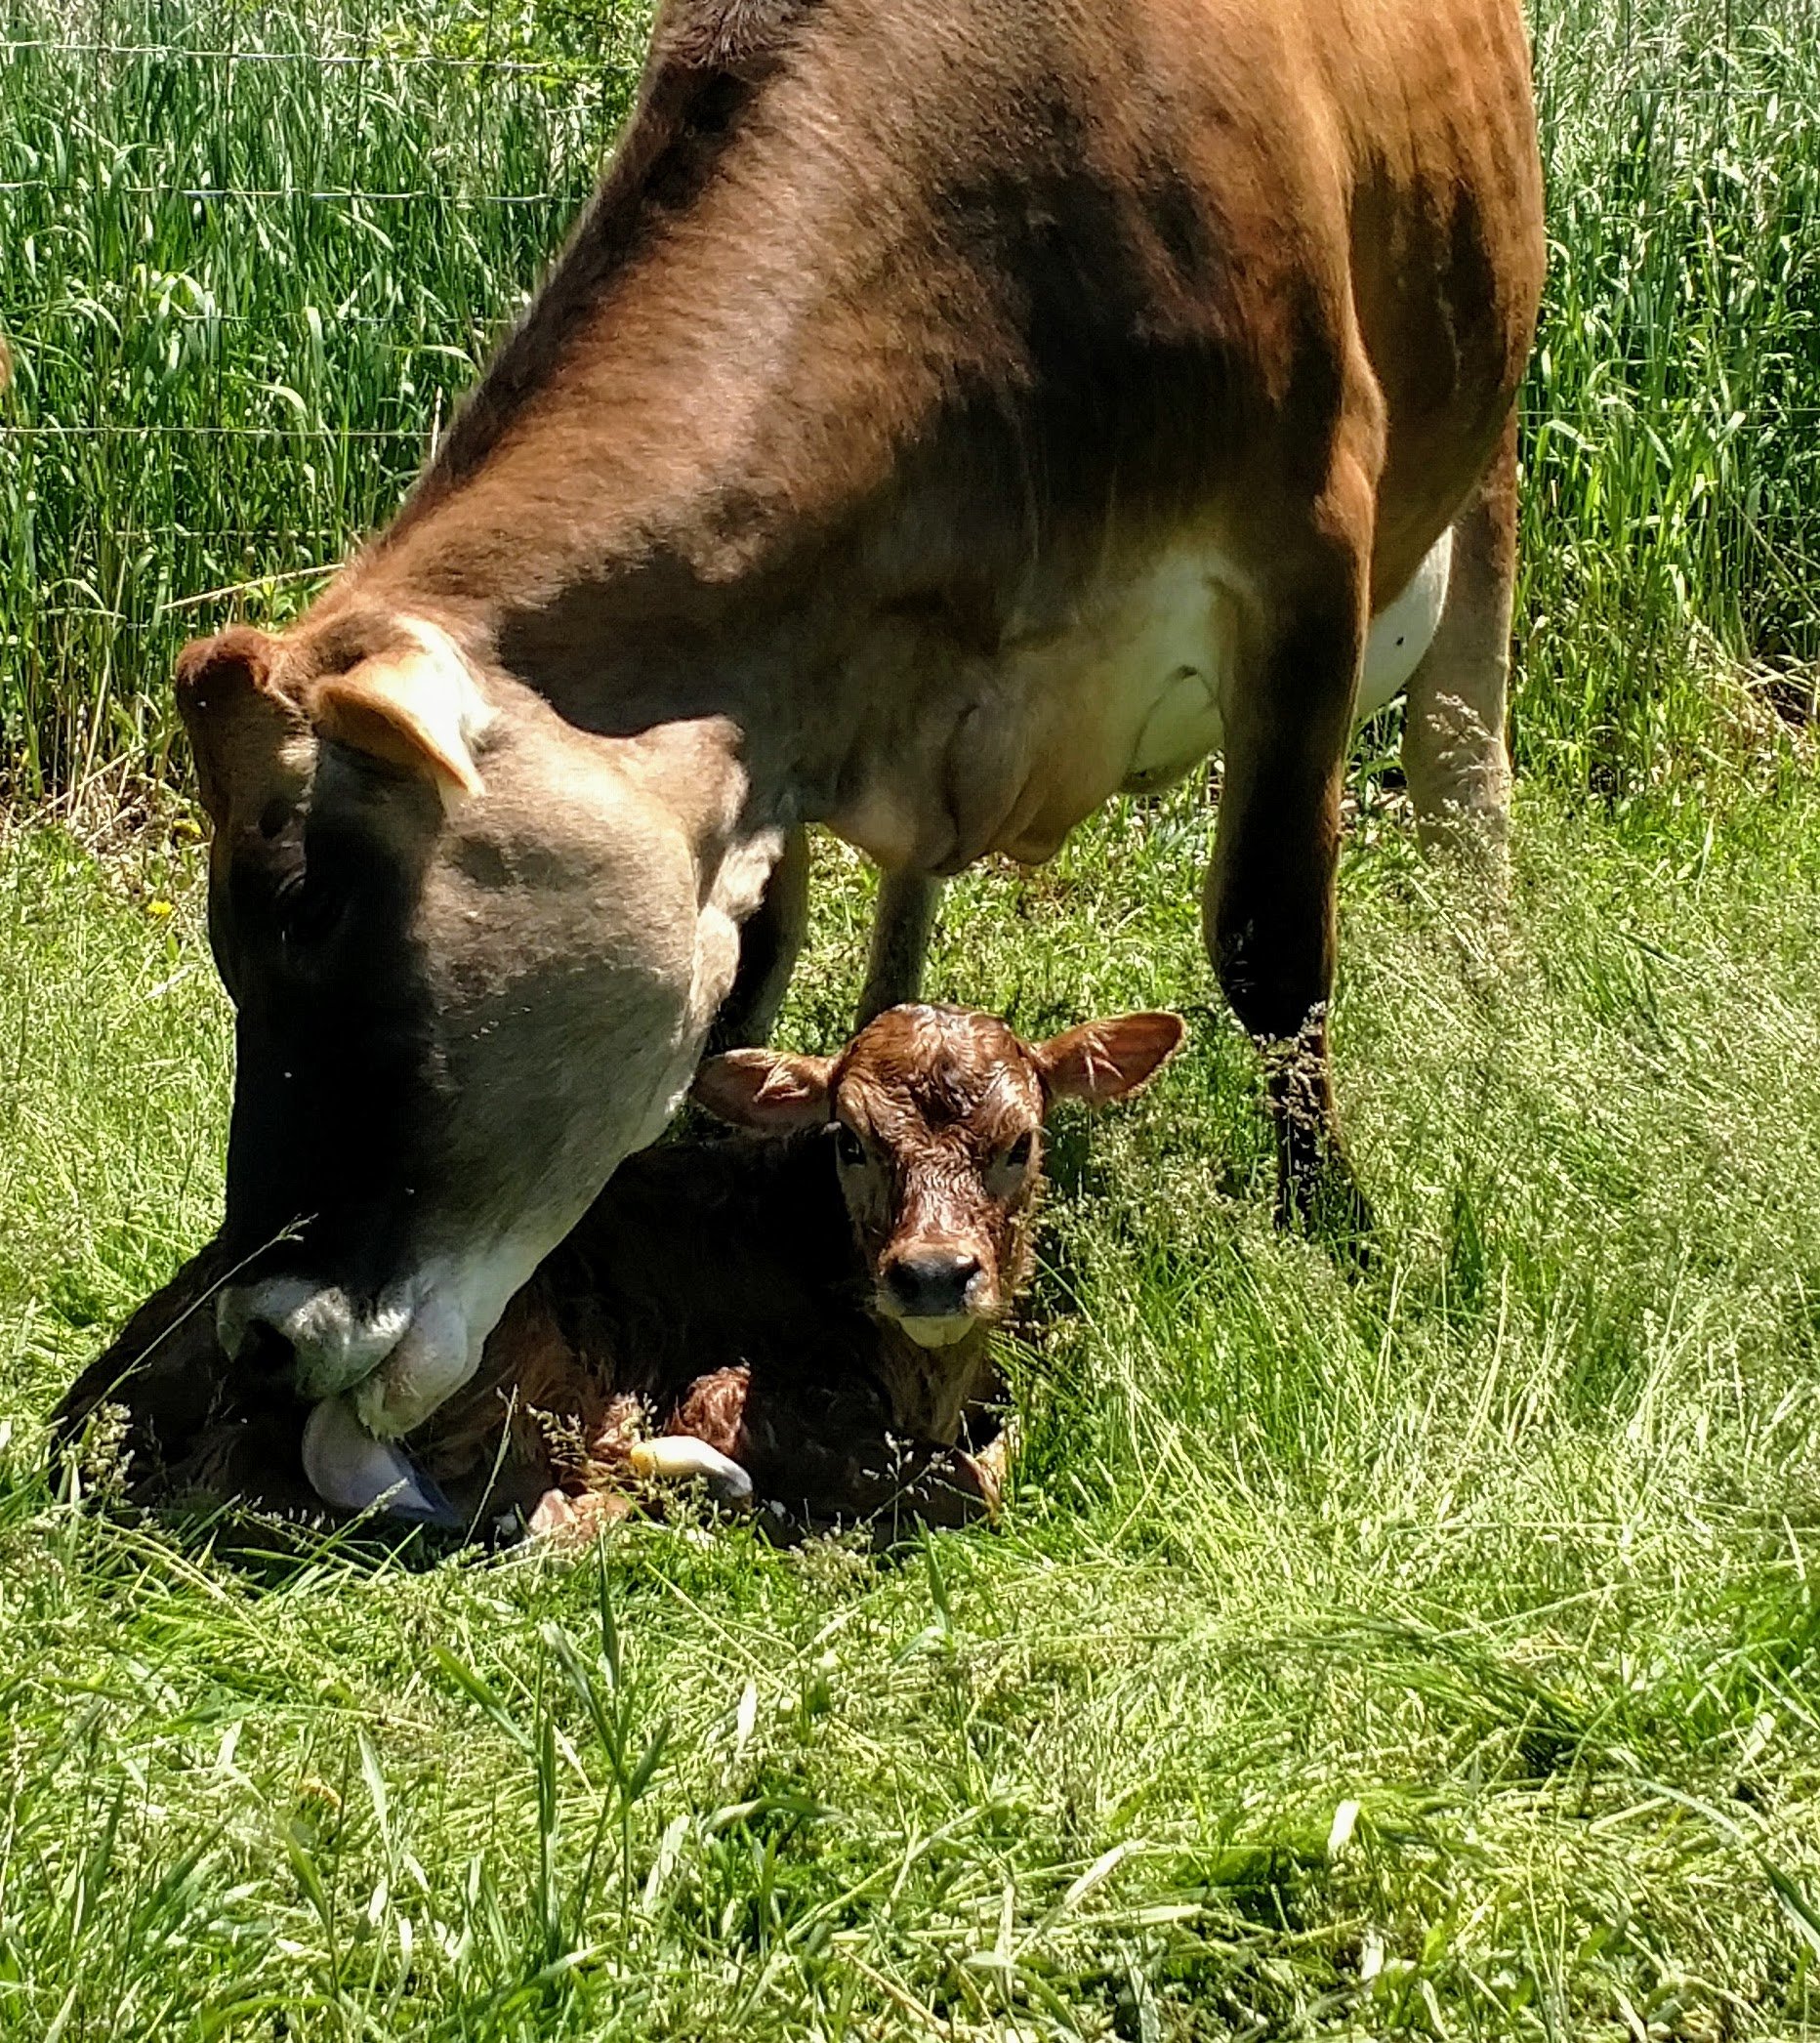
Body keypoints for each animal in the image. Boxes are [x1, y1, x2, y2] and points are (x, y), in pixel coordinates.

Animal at [170, 0, 1546, 1463]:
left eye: (316, 903)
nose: (259, 1336)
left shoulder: (1301, 562)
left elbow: (1269, 942)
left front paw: (1331, 1221)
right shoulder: (764, 722)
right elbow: (746, 993)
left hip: (1483, 466)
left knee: (1464, 770)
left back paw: (1493, 988)